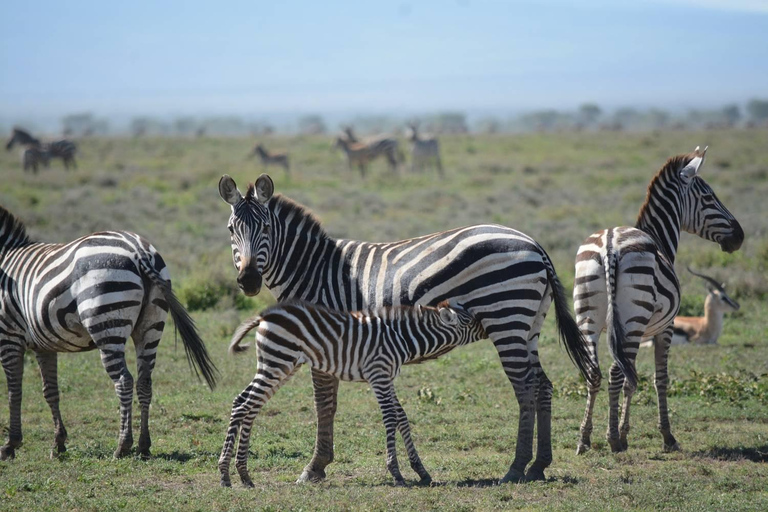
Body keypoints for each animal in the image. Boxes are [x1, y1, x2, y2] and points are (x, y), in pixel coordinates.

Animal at [0, 204, 218, 460]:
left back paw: (122, 445)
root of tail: (138, 250)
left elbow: (14, 391)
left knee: (124, 381)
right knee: (145, 381)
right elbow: (50, 390)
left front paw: (11, 444)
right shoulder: (44, 345)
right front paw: (58, 442)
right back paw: (143, 445)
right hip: (151, 327)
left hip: (107, 325)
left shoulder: (8, 336)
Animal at [218, 298, 486, 486]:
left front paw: (421, 471)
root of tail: (264, 315)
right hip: (277, 362)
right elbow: (390, 418)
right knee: (245, 405)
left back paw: (241, 475)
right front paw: (396, 473)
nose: (488, 326)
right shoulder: (379, 374)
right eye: (470, 321)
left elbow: (401, 417)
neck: (401, 337)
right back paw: (228, 475)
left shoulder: (387, 377)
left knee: (245, 403)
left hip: (280, 366)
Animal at [576, 146, 744, 454]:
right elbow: (659, 379)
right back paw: (612, 439)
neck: (659, 237)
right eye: (709, 196)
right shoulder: (665, 327)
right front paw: (665, 436)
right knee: (616, 372)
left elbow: (633, 381)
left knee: (594, 372)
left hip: (588, 317)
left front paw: (624, 433)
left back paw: (584, 439)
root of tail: (609, 245)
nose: (739, 236)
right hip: (632, 321)